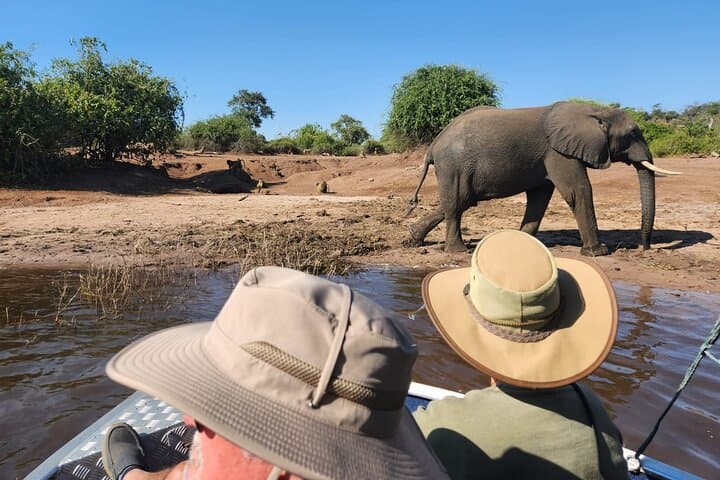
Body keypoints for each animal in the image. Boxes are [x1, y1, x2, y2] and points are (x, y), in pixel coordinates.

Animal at [406, 101, 681, 255]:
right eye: (632, 134)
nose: (645, 248)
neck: (593, 111)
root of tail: (433, 146)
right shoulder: (558, 152)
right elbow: (578, 191)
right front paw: (598, 253)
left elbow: (540, 197)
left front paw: (521, 242)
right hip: (454, 165)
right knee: (457, 202)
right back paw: (457, 252)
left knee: (461, 201)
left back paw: (413, 237)